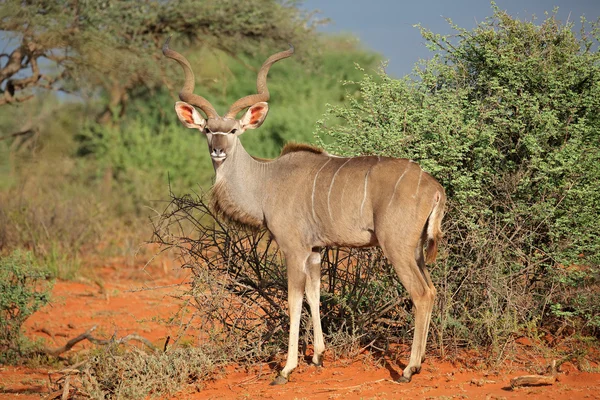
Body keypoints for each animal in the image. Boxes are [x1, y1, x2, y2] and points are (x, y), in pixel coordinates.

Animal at [163, 38, 446, 384]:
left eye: (232, 131)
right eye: (206, 129)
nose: (217, 150)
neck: (266, 181)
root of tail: (434, 187)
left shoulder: (293, 248)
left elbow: (294, 300)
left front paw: (286, 368)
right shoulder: (315, 251)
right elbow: (314, 294)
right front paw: (318, 357)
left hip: (397, 247)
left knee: (421, 294)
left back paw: (409, 369)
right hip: (416, 249)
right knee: (432, 290)